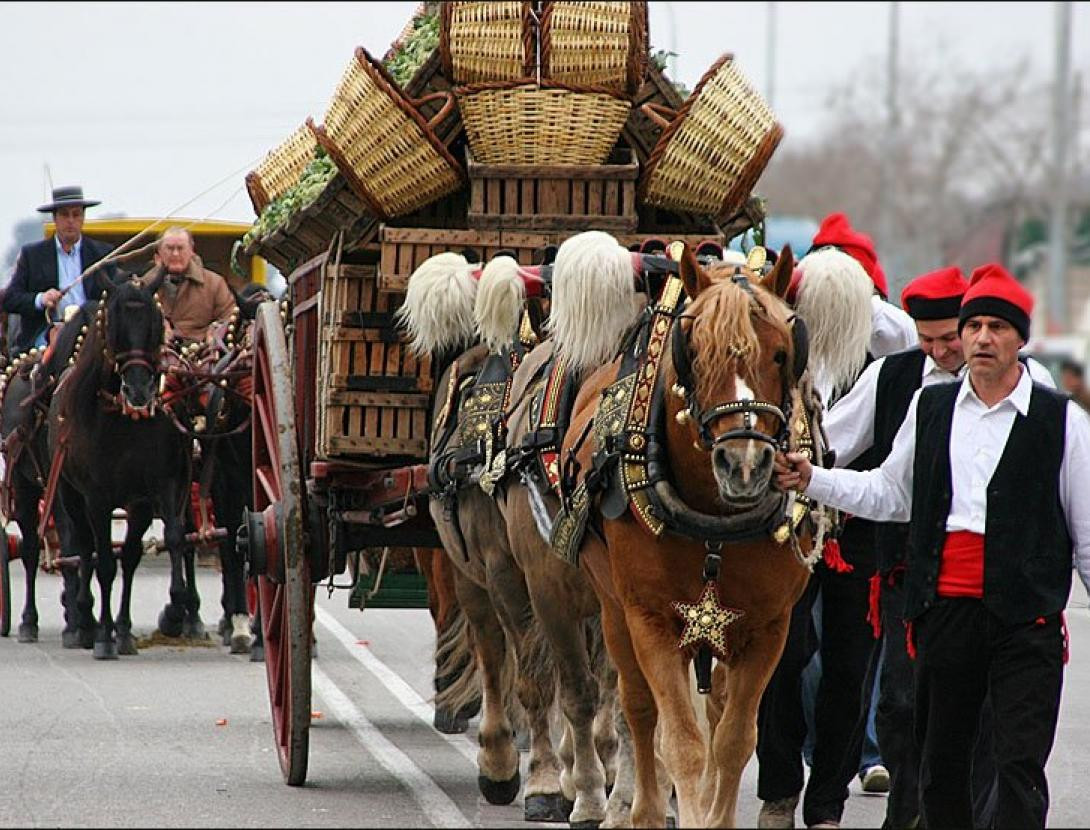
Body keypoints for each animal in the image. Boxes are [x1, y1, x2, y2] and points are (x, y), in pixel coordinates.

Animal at [47, 278, 198, 658]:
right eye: (113, 323)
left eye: (156, 322)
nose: (140, 390)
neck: (123, 419)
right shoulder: (97, 498)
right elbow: (103, 562)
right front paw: (103, 634)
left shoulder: (157, 488)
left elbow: (166, 541)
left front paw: (171, 611)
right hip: (70, 494)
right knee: (84, 548)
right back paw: (86, 622)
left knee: (125, 556)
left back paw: (121, 628)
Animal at [558, 237, 819, 824]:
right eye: (693, 351)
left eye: (783, 352)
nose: (743, 465)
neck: (715, 522)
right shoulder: (652, 620)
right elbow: (680, 741)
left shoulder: (768, 628)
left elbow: (733, 740)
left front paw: (715, 813)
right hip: (615, 610)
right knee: (637, 709)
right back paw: (635, 808)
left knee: (715, 711)